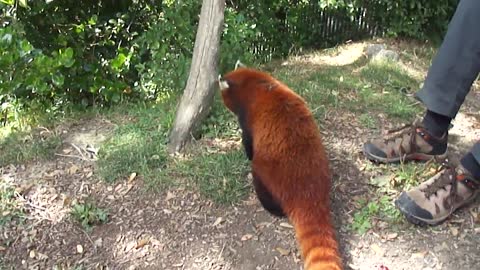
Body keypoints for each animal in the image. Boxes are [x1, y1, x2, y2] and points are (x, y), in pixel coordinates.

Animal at [218, 66, 342, 268]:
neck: (253, 82)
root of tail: (308, 190)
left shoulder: (248, 117)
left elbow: (248, 142)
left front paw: (246, 153)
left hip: (266, 172)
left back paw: (272, 208)